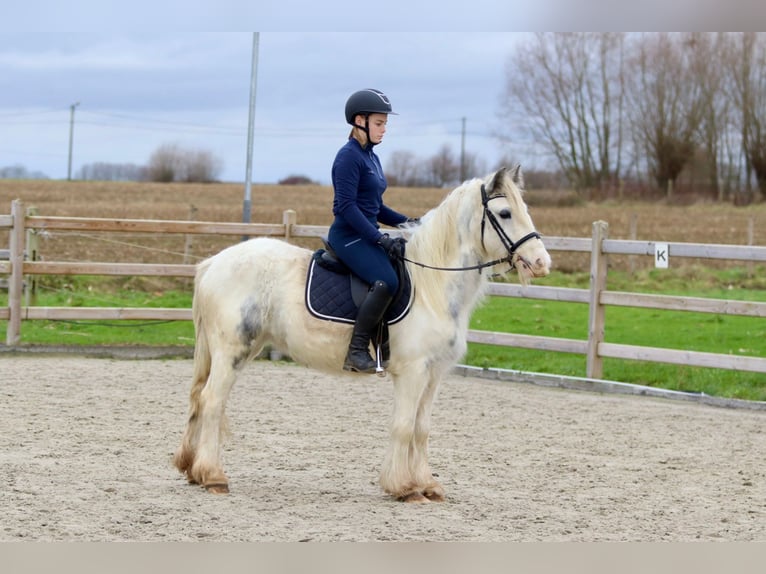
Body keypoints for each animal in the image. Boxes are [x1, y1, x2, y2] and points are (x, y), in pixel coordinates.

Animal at [176, 166, 552, 504]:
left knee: (202, 400)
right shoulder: (413, 371)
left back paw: (193, 470)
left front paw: (429, 485)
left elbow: (422, 428)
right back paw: (213, 476)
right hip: (231, 351)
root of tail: (212, 264)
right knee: (212, 401)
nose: (541, 262)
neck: (433, 285)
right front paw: (405, 488)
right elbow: (403, 426)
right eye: (504, 213)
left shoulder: (434, 374)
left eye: (524, 209)